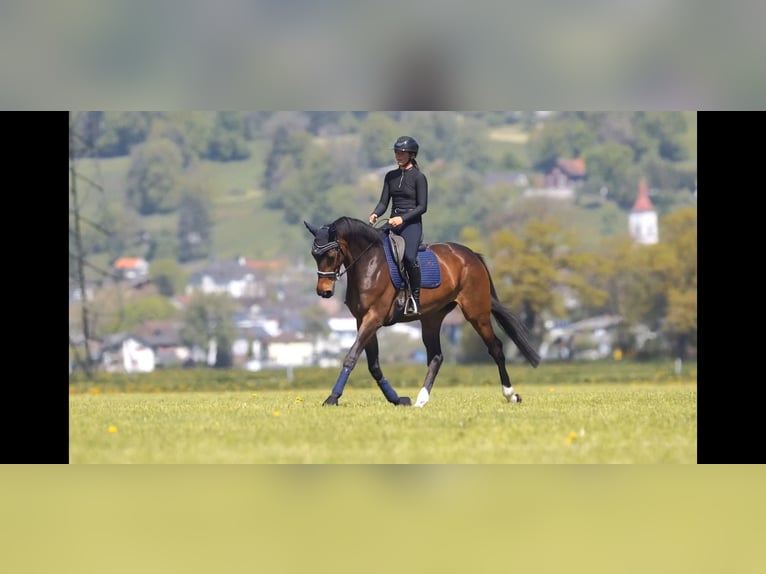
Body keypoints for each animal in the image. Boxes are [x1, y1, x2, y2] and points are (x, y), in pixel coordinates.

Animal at [304, 216, 541, 407]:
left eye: (331, 253)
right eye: (314, 254)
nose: (323, 292)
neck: (369, 264)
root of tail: (471, 255)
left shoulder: (373, 319)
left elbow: (351, 357)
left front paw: (332, 398)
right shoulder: (362, 320)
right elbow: (373, 365)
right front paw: (398, 399)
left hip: (476, 313)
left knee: (496, 348)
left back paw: (511, 395)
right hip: (431, 319)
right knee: (436, 356)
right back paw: (421, 399)